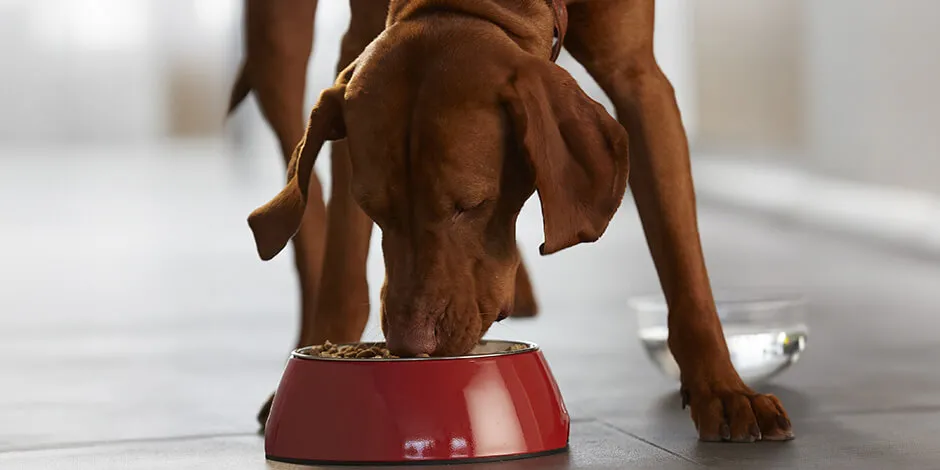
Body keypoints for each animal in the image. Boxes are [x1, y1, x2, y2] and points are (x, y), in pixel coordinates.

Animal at [228, 0, 792, 442]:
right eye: (375, 210)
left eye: (470, 204)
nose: (411, 347)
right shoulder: (354, 55)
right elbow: (343, 269)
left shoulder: (640, 79)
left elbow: (682, 258)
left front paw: (724, 389)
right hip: (273, 43)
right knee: (303, 198)